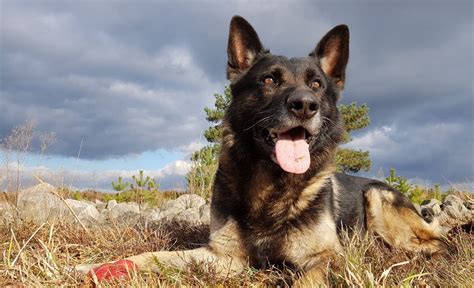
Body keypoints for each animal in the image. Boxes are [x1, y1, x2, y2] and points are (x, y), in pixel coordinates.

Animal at [76, 15, 446, 284]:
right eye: (269, 80)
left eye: (316, 84)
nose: (305, 105)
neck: (272, 188)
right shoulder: (222, 257)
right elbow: (152, 257)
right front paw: (99, 267)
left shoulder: (327, 259)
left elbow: (305, 279)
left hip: (377, 199)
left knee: (440, 241)